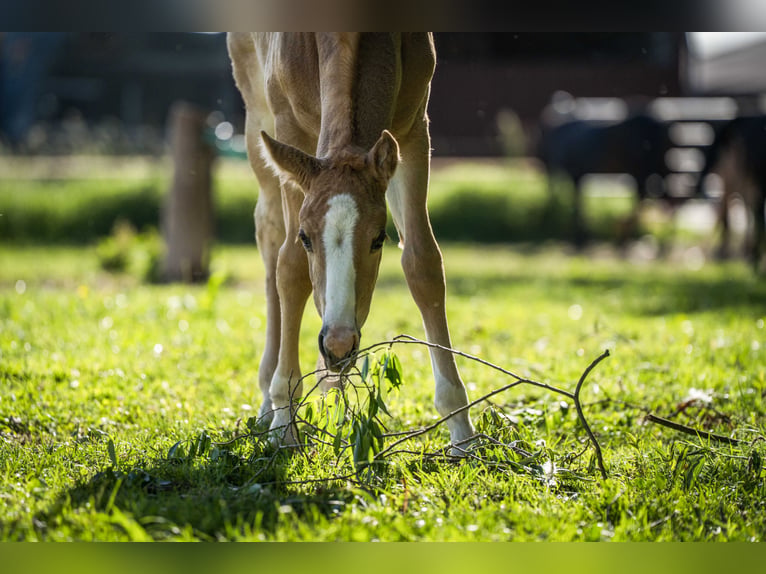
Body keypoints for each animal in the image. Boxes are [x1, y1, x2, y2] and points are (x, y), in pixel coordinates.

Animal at [227, 33, 475, 454]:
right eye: (306, 238)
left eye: (379, 238)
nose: (339, 346)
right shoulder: (287, 124)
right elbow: (290, 268)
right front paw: (284, 421)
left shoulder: (413, 126)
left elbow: (422, 262)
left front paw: (461, 429)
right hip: (257, 118)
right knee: (270, 235)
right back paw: (270, 399)